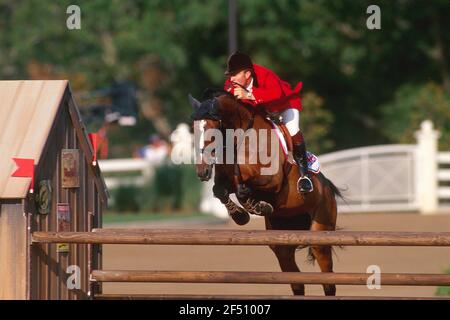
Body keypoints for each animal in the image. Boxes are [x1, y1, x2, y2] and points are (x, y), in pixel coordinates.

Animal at [189, 89, 342, 296]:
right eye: (194, 130)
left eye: (211, 132)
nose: (202, 172)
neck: (239, 139)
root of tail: (327, 188)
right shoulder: (225, 181)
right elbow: (221, 191)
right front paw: (241, 215)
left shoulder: (272, 180)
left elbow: (243, 189)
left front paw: (257, 207)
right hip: (282, 243)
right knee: (296, 280)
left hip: (320, 234)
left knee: (328, 281)